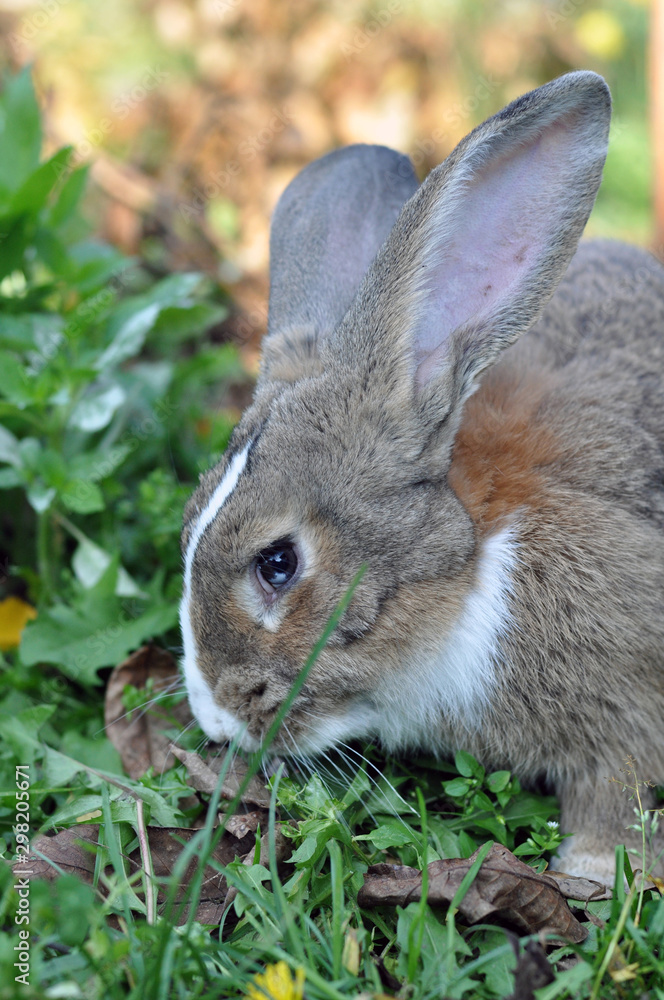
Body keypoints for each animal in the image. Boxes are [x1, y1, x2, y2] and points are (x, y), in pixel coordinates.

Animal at [180, 71, 664, 886]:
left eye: (278, 563)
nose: (215, 717)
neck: (475, 567)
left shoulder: (631, 701)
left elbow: (616, 790)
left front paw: (593, 873)